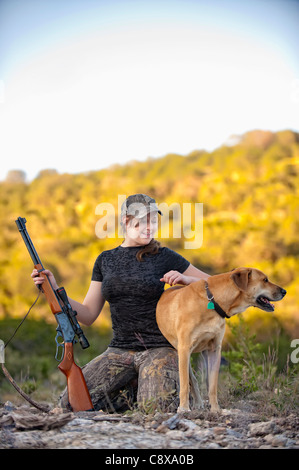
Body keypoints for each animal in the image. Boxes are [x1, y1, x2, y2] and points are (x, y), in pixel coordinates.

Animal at [156, 268, 288, 412]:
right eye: (265, 280)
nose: (284, 291)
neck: (213, 302)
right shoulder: (185, 348)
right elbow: (185, 384)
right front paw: (184, 409)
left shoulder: (214, 350)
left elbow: (212, 386)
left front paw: (215, 409)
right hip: (182, 353)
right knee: (191, 379)